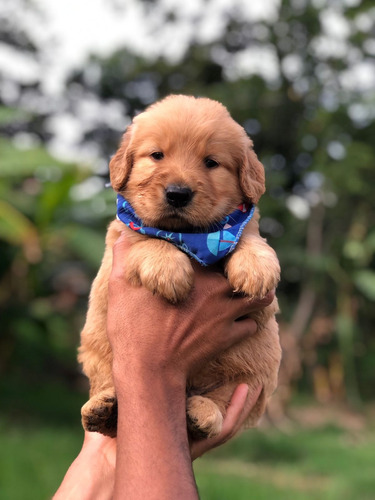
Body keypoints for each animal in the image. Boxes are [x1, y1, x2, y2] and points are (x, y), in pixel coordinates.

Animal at [81, 94, 284, 438]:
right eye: (156, 155)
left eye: (211, 162)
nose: (178, 194)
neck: (191, 238)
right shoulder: (122, 235)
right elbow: (146, 237)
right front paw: (168, 269)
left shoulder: (243, 228)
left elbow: (251, 237)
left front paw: (257, 267)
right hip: (98, 354)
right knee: (107, 391)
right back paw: (101, 409)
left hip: (253, 373)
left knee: (223, 397)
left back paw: (202, 414)